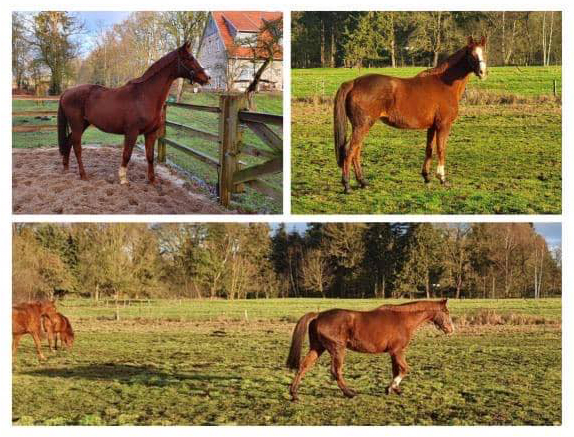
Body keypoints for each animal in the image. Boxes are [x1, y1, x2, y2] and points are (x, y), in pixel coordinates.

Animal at [58, 41, 212, 184]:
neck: (145, 95)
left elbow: (150, 156)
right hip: (77, 125)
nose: (207, 78)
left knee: (69, 142)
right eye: (190, 58)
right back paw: (83, 175)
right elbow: (127, 154)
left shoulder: (151, 133)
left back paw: (66, 167)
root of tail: (67, 91)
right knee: (77, 147)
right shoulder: (131, 132)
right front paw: (123, 179)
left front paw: (152, 180)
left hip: (83, 124)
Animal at [286, 298, 454, 400]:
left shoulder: (393, 353)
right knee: (335, 371)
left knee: (304, 366)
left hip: (317, 348)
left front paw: (394, 390)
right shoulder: (398, 351)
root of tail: (318, 315)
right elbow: (405, 369)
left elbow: (396, 370)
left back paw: (294, 394)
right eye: (446, 312)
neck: (403, 320)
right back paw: (349, 393)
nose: (451, 330)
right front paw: (391, 387)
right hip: (337, 349)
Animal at [336, 36, 488, 193]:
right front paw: (442, 179)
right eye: (471, 54)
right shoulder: (443, 125)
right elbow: (441, 149)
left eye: (484, 52)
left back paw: (363, 182)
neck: (444, 83)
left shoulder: (432, 126)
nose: (482, 72)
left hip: (362, 127)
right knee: (349, 151)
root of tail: (354, 83)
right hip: (362, 126)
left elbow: (429, 149)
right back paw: (347, 185)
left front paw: (427, 177)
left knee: (356, 151)